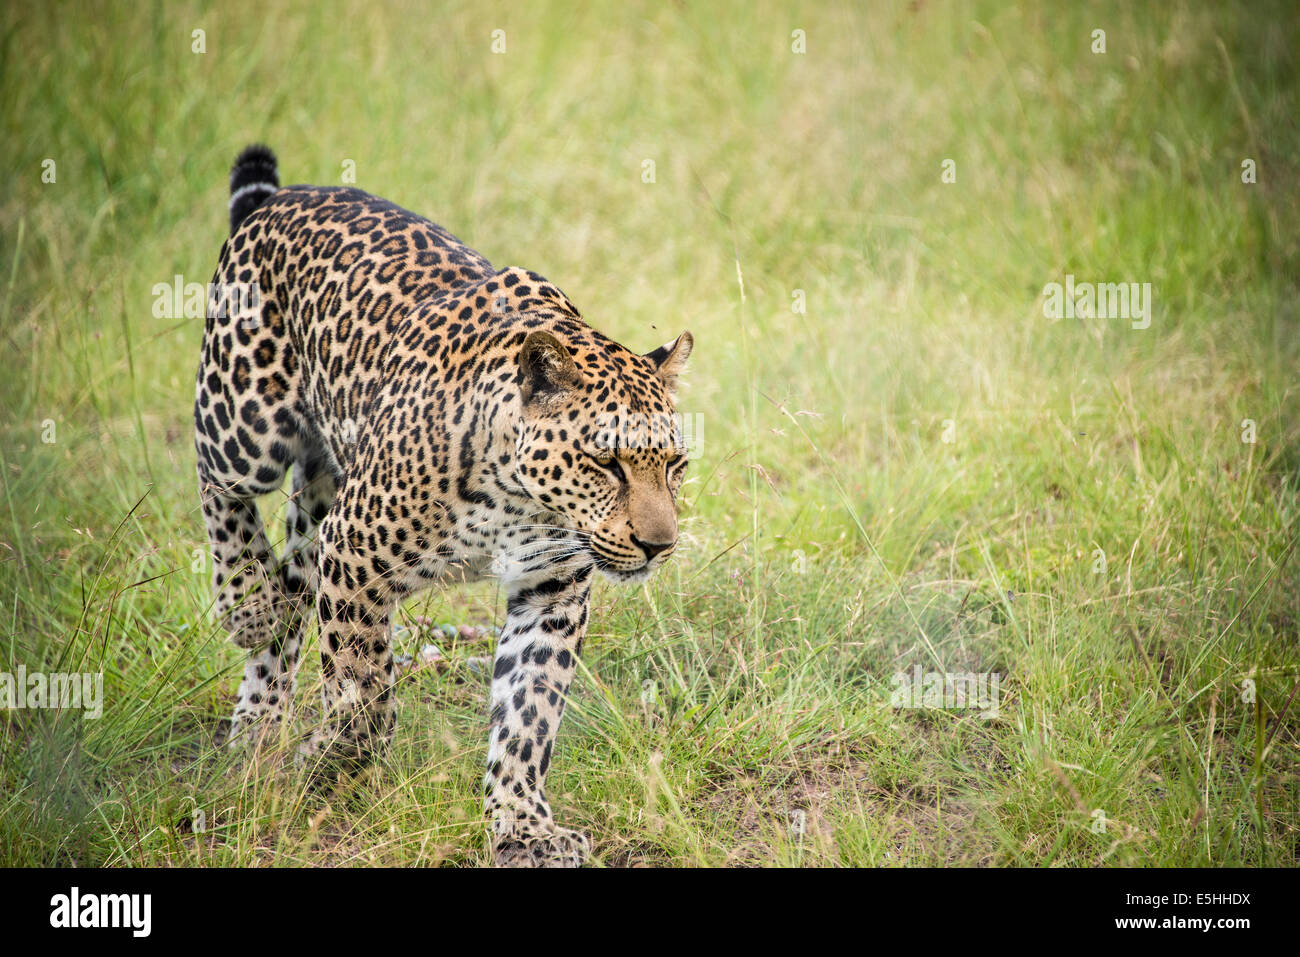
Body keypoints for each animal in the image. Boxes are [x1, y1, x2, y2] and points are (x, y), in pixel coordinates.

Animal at [195, 141, 691, 868]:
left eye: (676, 465)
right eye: (607, 464)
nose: (659, 545)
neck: (519, 500)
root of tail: (279, 200)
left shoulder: (551, 592)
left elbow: (527, 717)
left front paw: (522, 827)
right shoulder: (356, 555)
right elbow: (364, 692)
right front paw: (329, 762)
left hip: (322, 490)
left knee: (293, 585)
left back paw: (258, 722)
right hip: (245, 420)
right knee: (219, 486)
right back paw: (249, 605)